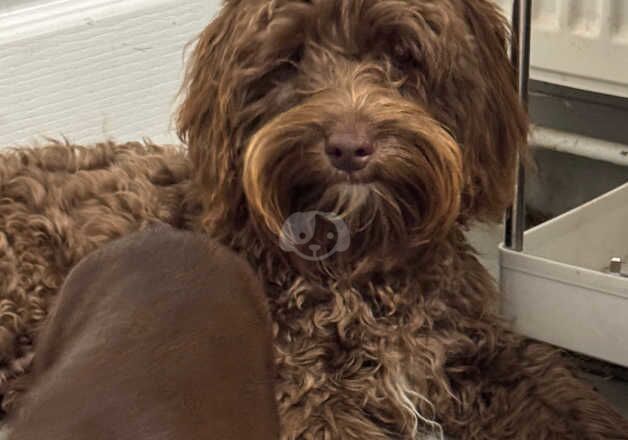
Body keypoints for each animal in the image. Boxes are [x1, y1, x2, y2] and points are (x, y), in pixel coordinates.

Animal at [1, 0, 628, 440]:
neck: (362, 258)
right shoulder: (308, 398)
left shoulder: (488, 357)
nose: (349, 146)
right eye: (290, 59)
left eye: (403, 55)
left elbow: (572, 406)